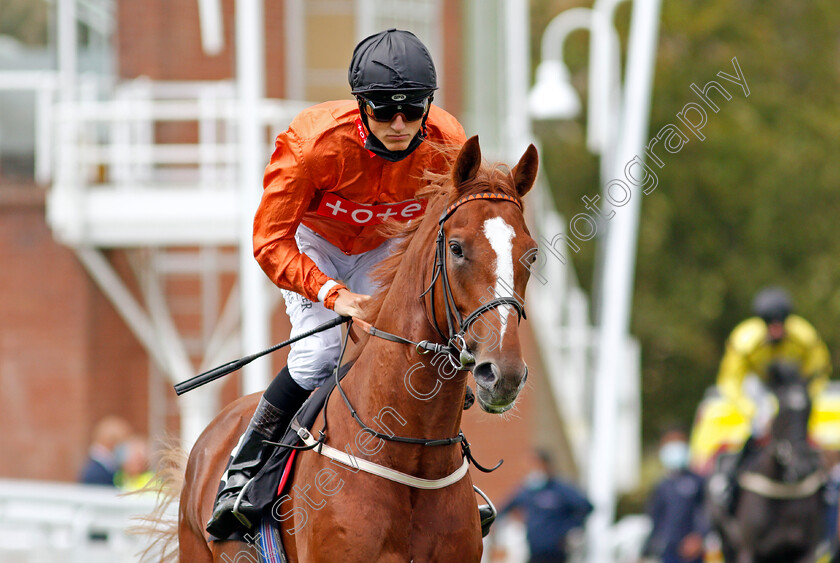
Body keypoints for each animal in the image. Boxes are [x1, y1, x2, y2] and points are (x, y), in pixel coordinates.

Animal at [708, 364, 828, 560]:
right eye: (782, 411)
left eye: (809, 409)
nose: (802, 464)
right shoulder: (748, 550)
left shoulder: (806, 549)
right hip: (726, 541)